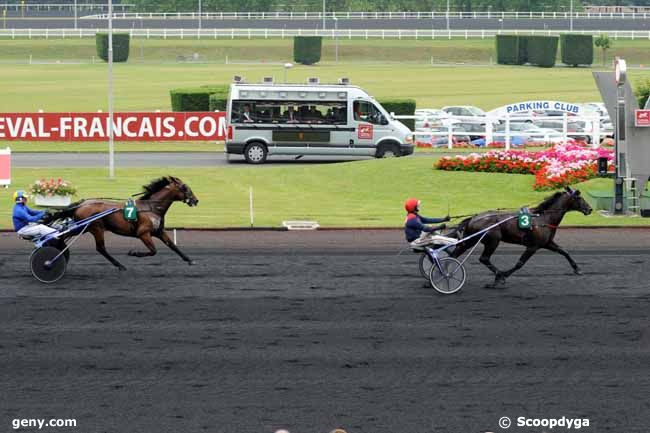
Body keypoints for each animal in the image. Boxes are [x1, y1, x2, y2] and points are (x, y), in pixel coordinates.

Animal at [52, 176, 197, 270]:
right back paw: (120, 265)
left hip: (83, 227)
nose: (196, 200)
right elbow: (153, 251)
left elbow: (172, 245)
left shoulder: (159, 231)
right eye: (185, 188)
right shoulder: (143, 233)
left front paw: (189, 260)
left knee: (63, 235)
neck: (151, 207)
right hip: (95, 228)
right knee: (100, 248)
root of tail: (82, 204)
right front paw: (134, 253)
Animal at [448, 186, 588, 286]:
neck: (543, 218)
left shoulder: (547, 243)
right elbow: (520, 263)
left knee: (455, 254)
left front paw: (577, 269)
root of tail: (473, 218)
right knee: (484, 258)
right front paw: (503, 276)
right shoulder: (533, 246)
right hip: (493, 241)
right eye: (580, 198)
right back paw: (498, 276)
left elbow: (564, 251)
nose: (590, 209)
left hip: (471, 240)